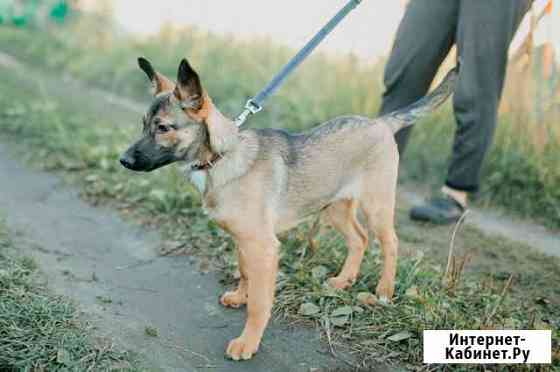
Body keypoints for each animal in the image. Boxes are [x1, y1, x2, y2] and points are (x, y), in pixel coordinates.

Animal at [120, 57, 458, 360]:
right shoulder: (245, 241)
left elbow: (260, 302)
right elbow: (245, 272)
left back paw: (384, 291)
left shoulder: (263, 247)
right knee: (359, 239)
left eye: (163, 128)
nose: (123, 161)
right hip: (334, 206)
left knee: (390, 243)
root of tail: (381, 122)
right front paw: (240, 296)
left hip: (376, 205)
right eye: (143, 125)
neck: (222, 157)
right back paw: (342, 281)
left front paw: (248, 343)